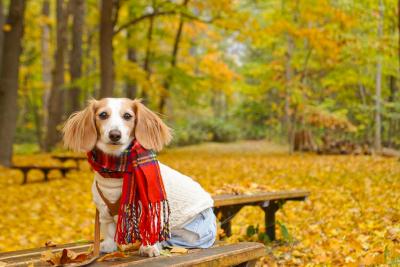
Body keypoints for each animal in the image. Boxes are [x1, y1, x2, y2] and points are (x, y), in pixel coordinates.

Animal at [62, 99, 216, 258]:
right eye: (103, 115)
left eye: (127, 116)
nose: (115, 135)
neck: (115, 172)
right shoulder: (104, 212)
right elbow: (109, 231)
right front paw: (109, 245)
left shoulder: (151, 211)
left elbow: (150, 230)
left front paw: (149, 247)